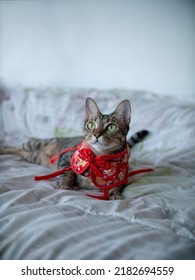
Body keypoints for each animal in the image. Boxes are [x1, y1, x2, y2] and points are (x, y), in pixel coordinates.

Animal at [0, 97, 149, 200]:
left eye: (111, 127)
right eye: (91, 125)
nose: (96, 134)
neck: (99, 158)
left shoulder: (122, 175)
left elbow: (117, 185)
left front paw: (116, 194)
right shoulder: (67, 159)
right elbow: (66, 173)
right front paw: (64, 185)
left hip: (33, 157)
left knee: (21, 152)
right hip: (35, 144)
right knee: (16, 147)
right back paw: (3, 149)